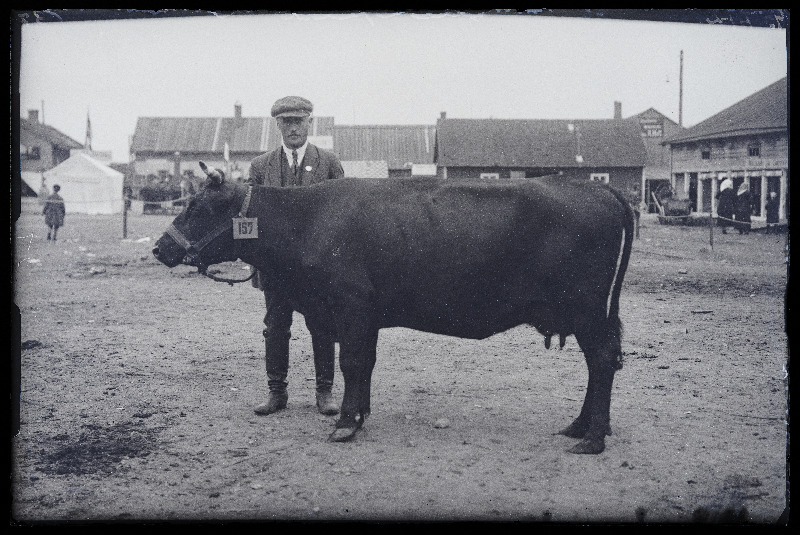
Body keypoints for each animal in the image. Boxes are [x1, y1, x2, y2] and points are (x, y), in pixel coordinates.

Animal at [153, 163, 636, 456]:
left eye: (196, 206)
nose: (160, 248)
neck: (307, 219)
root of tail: (596, 188)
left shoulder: (349, 307)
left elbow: (350, 362)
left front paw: (344, 423)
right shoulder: (363, 316)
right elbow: (365, 363)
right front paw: (360, 415)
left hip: (586, 309)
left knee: (601, 360)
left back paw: (592, 438)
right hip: (591, 312)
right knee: (602, 362)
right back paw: (580, 426)